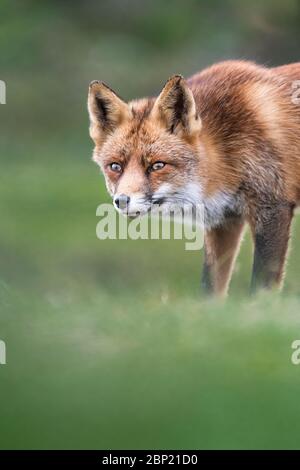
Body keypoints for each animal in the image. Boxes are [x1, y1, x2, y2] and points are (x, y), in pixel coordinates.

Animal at [88, 60, 300, 296]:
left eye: (157, 165)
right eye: (115, 166)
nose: (122, 201)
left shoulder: (272, 207)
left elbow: (262, 285)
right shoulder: (224, 220)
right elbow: (210, 287)